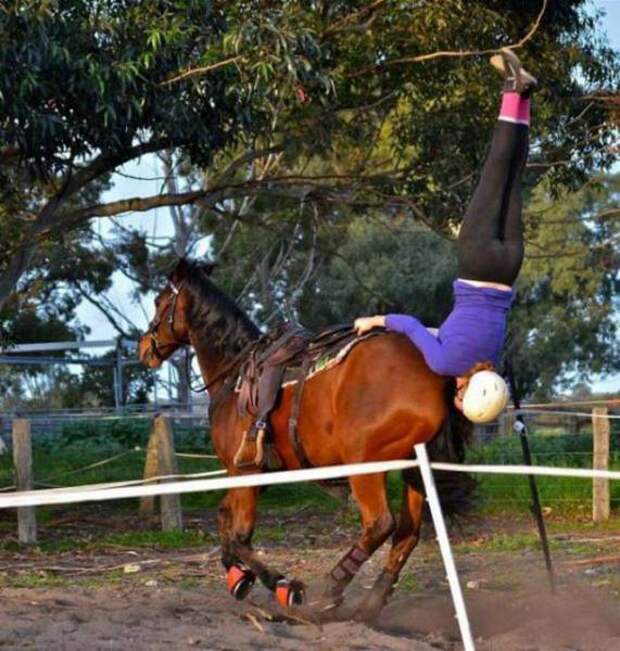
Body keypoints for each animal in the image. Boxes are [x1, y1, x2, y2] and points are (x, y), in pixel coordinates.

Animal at [139, 258, 470, 620]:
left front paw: (283, 585)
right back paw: (370, 603)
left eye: (158, 301)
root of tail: (432, 372)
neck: (235, 375)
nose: (143, 348)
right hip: (413, 469)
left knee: (380, 524)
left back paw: (332, 588)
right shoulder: (253, 476)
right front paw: (237, 575)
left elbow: (240, 535)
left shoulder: (244, 471)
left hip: (365, 465)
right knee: (406, 534)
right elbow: (224, 516)